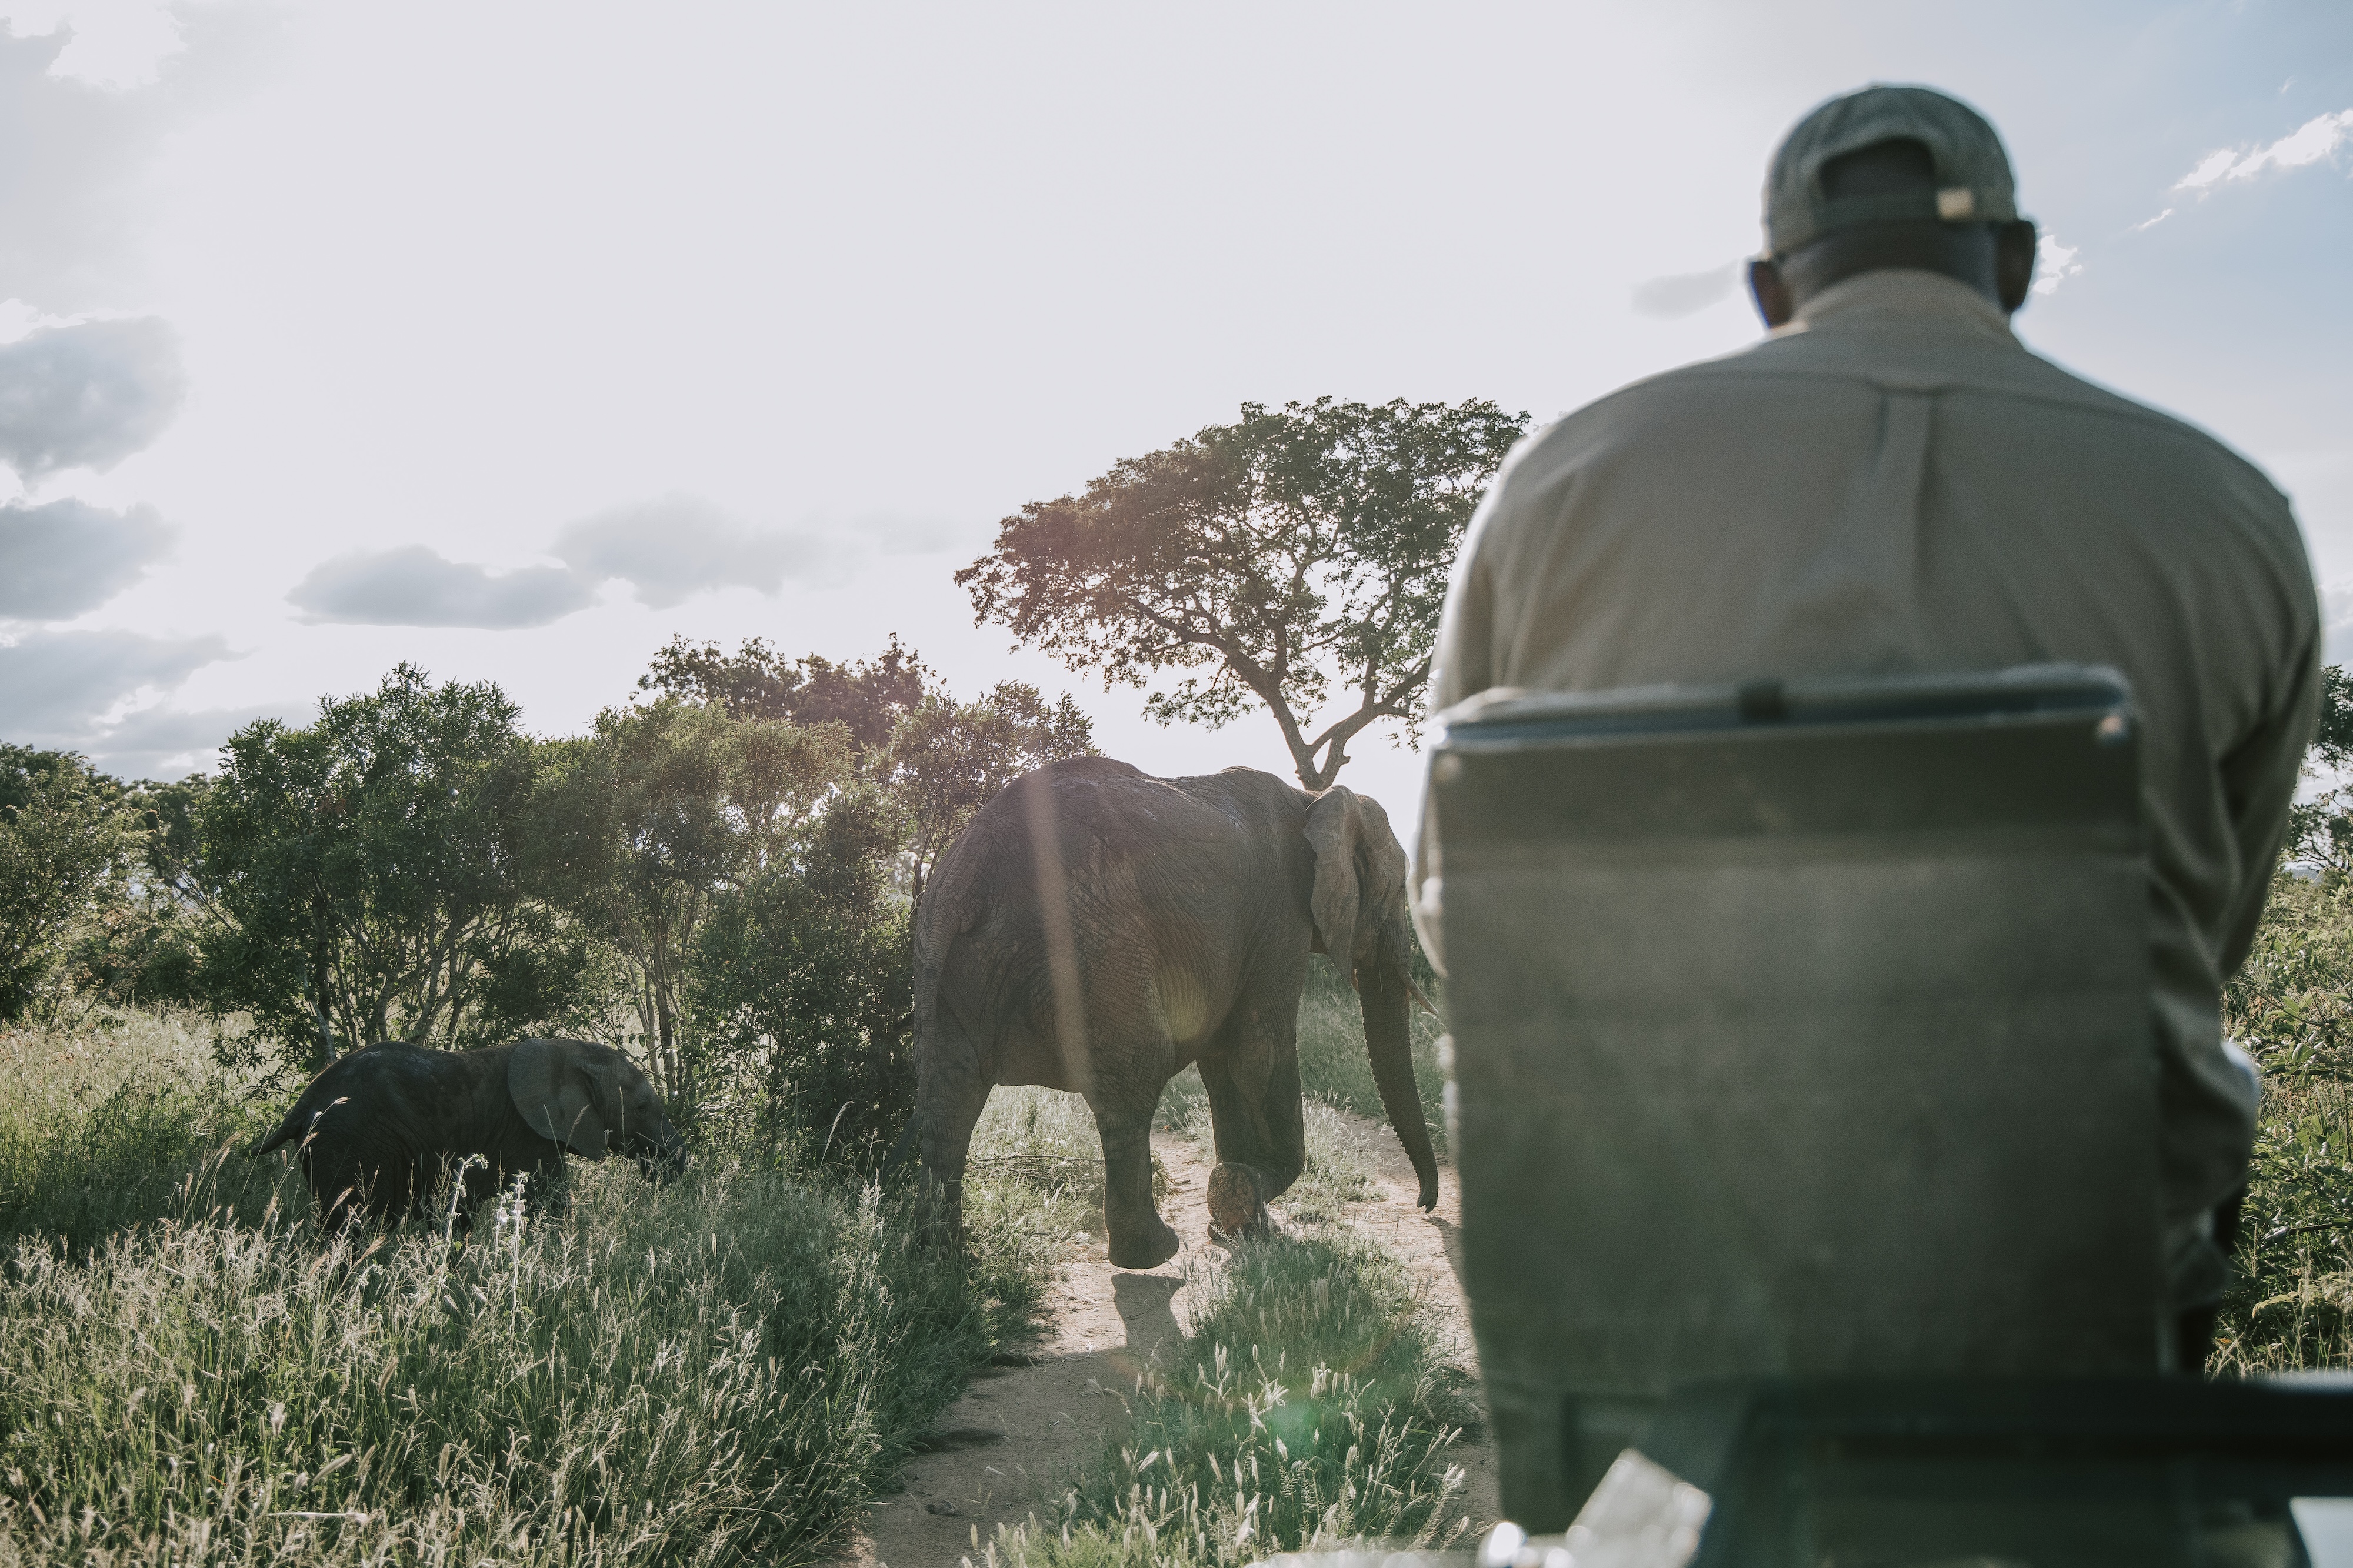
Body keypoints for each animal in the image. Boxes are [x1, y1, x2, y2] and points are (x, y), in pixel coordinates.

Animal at [254, 1038, 687, 1229]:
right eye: (642, 1108)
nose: (673, 1167)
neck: (573, 1052)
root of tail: (304, 1101)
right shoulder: (529, 1137)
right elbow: (549, 1204)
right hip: (351, 1144)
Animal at [908, 756, 1438, 1269]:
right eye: (1397, 892)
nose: (1425, 1207)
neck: (1314, 798)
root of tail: (966, 872)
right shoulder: (1282, 916)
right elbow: (1259, 1051)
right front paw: (1243, 1191)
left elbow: (1223, 1067)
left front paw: (1241, 1226)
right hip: (1096, 947)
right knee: (1132, 1085)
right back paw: (1154, 1253)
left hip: (951, 965)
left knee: (948, 1100)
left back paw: (947, 1261)